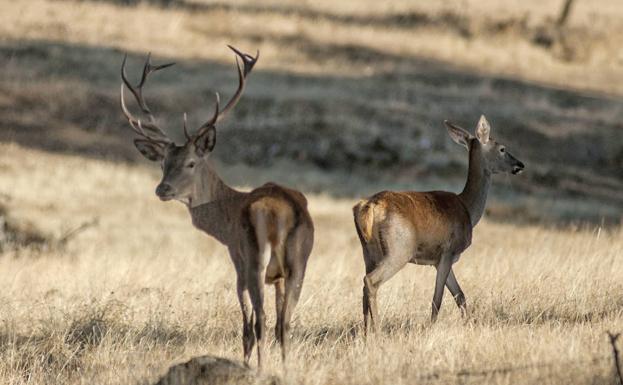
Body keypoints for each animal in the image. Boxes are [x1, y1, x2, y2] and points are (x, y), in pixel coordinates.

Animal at [121, 46, 314, 368]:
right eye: (163, 163)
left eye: (191, 163)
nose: (162, 189)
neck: (226, 216)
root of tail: (283, 213)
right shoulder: (278, 277)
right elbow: (279, 323)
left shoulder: (236, 257)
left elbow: (247, 326)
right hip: (300, 261)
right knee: (284, 323)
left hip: (254, 257)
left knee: (260, 321)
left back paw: (259, 369)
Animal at [354, 115, 524, 332]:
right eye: (502, 148)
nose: (520, 165)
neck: (468, 210)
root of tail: (369, 206)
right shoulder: (447, 251)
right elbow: (438, 299)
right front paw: (431, 328)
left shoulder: (440, 260)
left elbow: (460, 295)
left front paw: (468, 324)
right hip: (400, 249)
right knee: (371, 281)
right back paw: (377, 330)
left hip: (368, 252)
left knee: (364, 285)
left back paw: (366, 332)